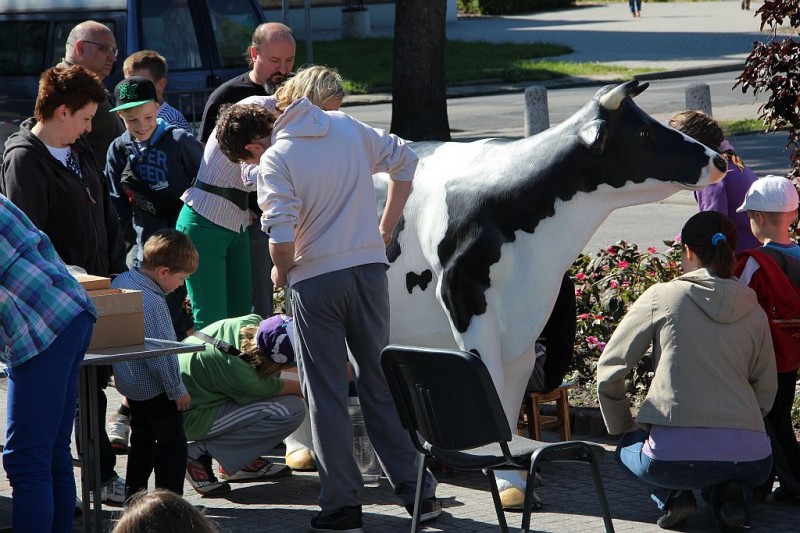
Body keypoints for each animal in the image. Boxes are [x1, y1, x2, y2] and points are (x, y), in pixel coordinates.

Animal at [377, 80, 727, 499]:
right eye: (644, 133)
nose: (720, 161)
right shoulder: (468, 305)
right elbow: (489, 392)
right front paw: (502, 475)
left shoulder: (524, 329)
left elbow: (508, 401)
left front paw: (514, 477)